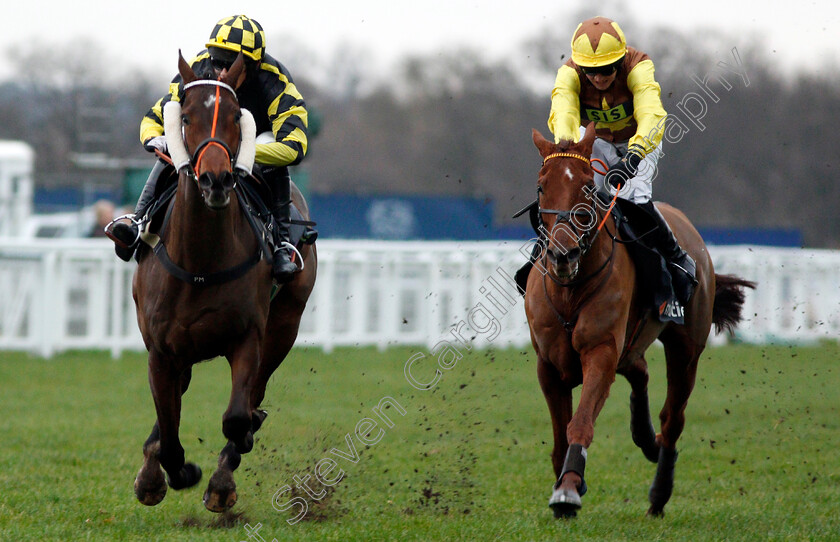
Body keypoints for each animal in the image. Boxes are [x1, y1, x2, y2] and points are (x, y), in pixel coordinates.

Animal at [131, 54, 318, 516]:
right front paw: (166, 474)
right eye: (186, 117)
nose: (215, 180)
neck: (200, 260)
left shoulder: (247, 336)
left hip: (285, 324)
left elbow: (236, 416)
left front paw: (219, 481)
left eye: (236, 116)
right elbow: (169, 425)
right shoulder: (161, 348)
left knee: (254, 394)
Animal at [524, 123, 756, 520]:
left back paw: (659, 491)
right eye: (542, 187)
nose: (562, 254)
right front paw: (565, 485)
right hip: (633, 345)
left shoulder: (601, 350)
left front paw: (568, 490)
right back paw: (646, 438)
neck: (570, 290)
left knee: (672, 418)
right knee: (640, 371)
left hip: (686, 348)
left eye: (587, 187)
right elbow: (558, 434)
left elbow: (580, 423)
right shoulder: (549, 365)